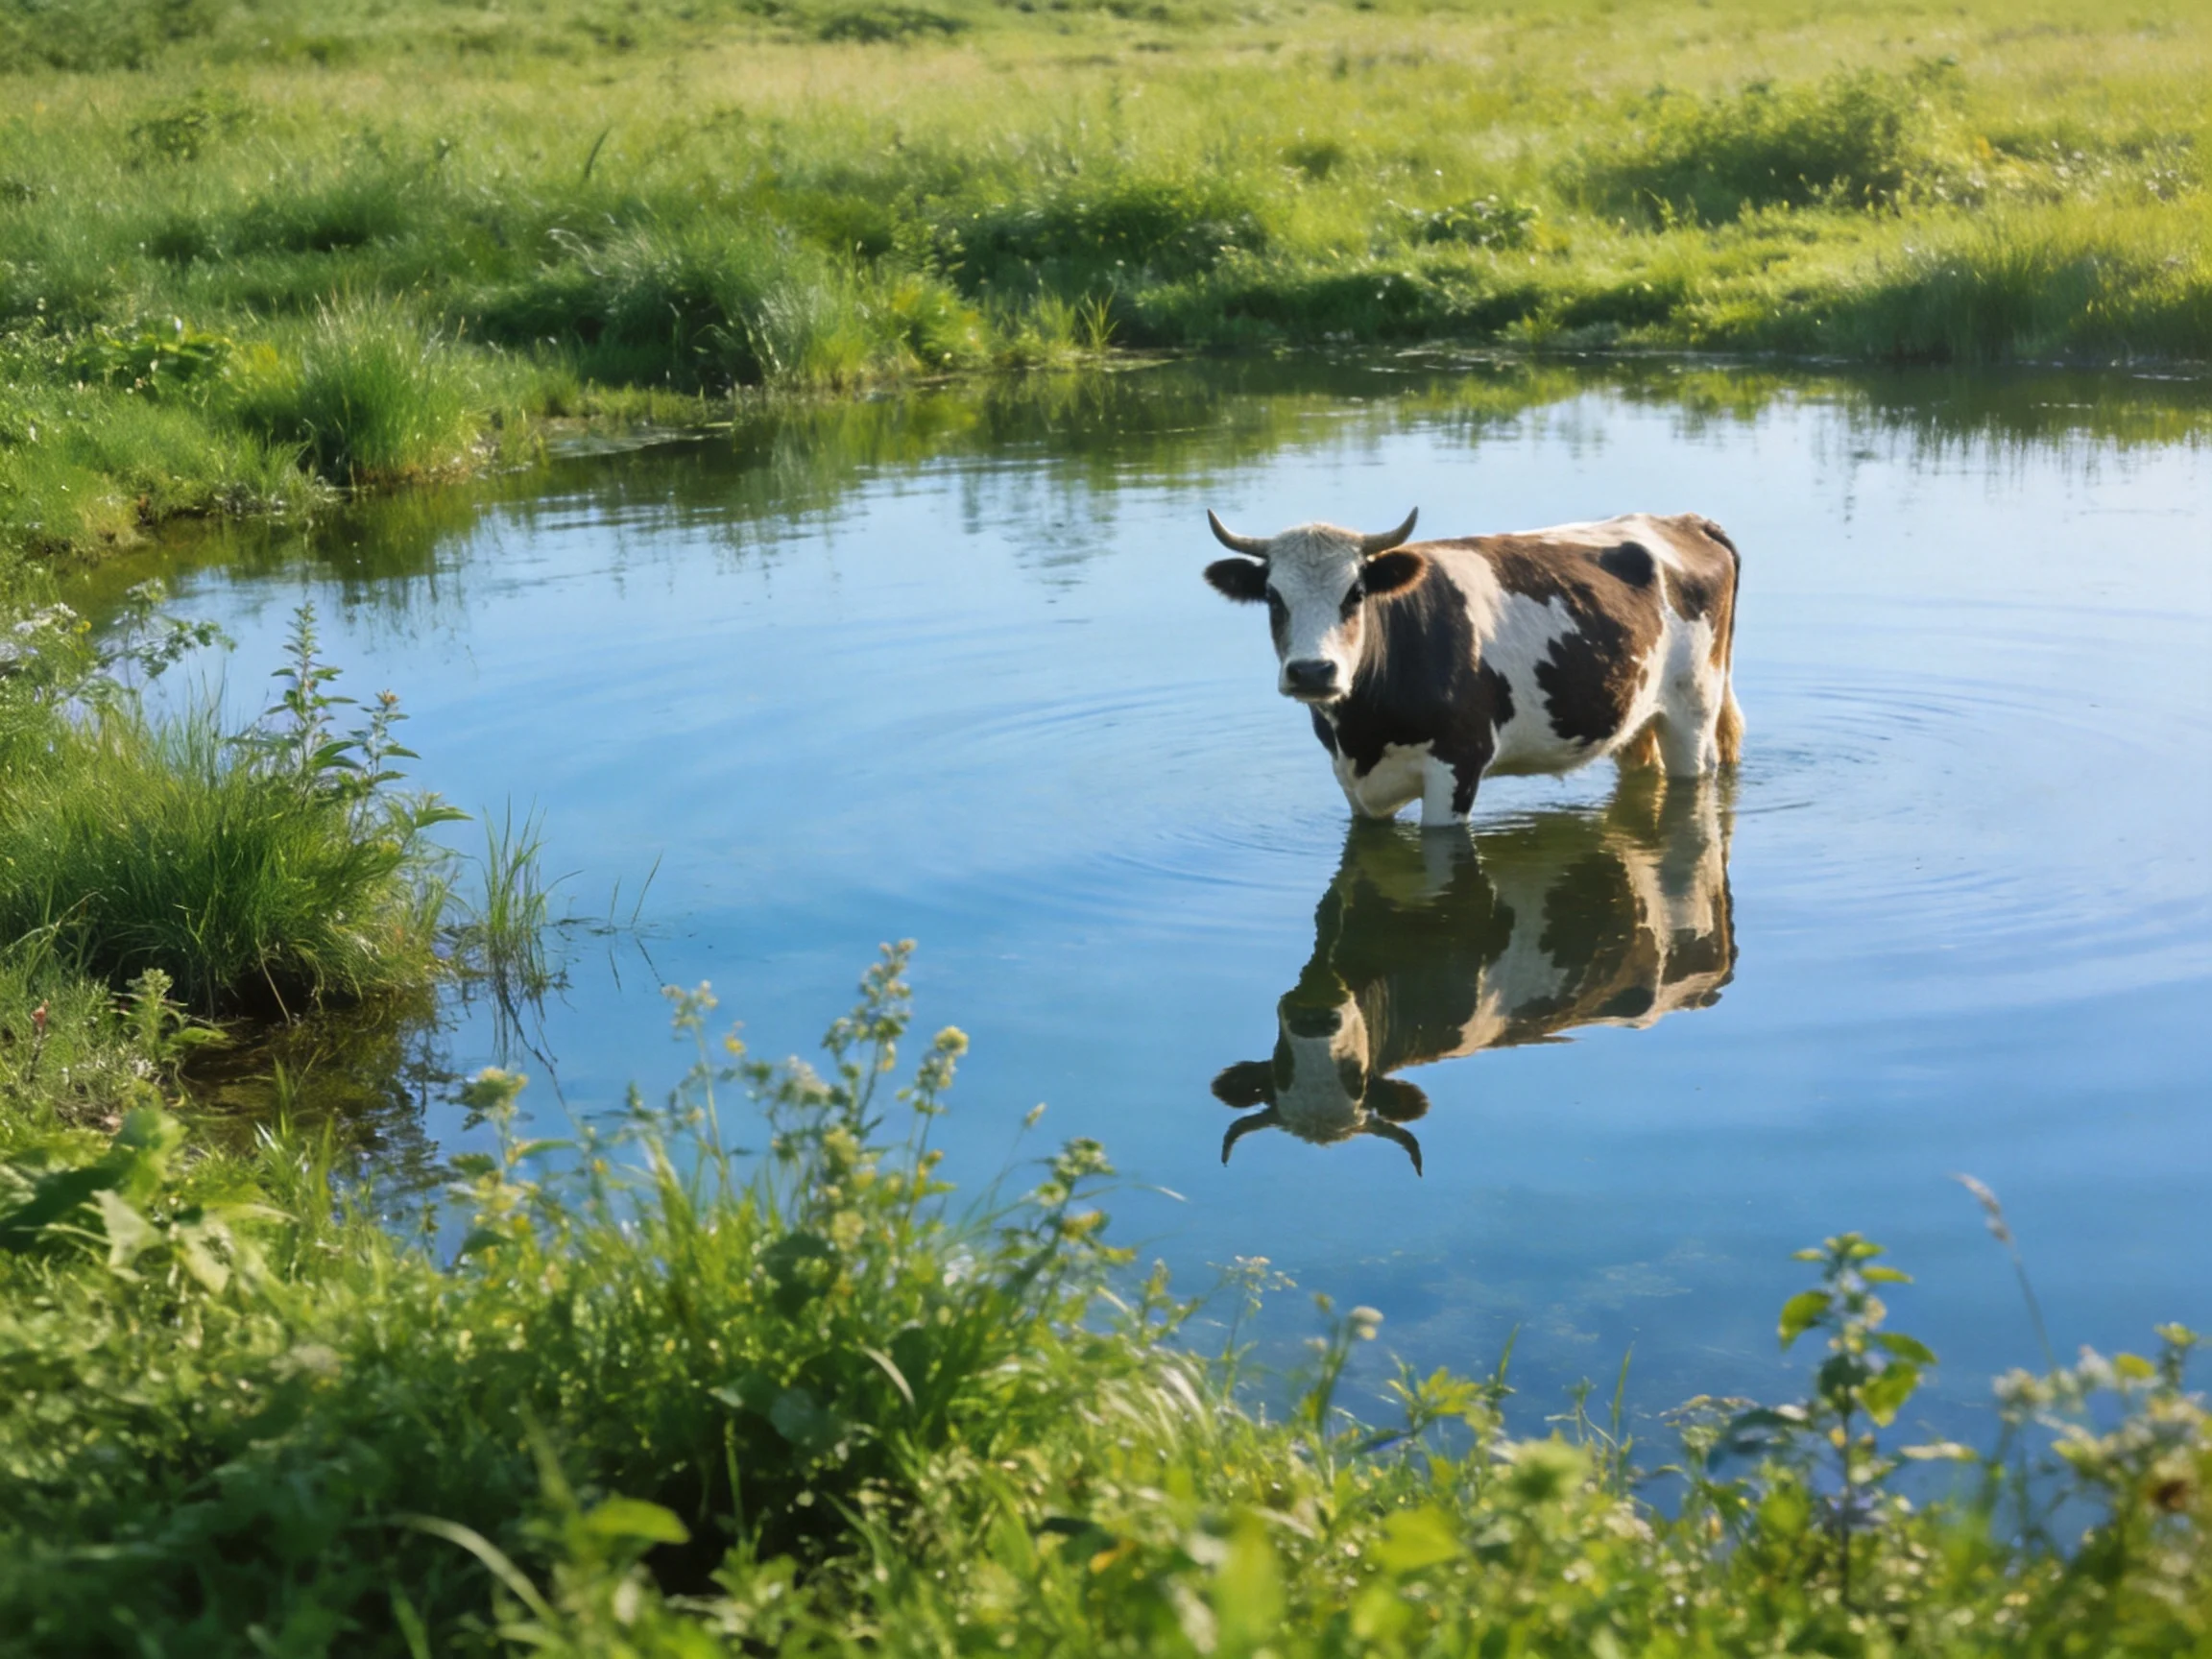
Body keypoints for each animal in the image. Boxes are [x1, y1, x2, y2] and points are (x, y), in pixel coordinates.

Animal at [1202, 506, 1742, 826]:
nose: (1313, 671)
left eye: (1355, 593)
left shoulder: (1458, 763)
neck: (1362, 733)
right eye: (1273, 598)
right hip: (1635, 710)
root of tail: (1683, 520)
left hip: (1693, 710)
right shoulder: (1349, 780)